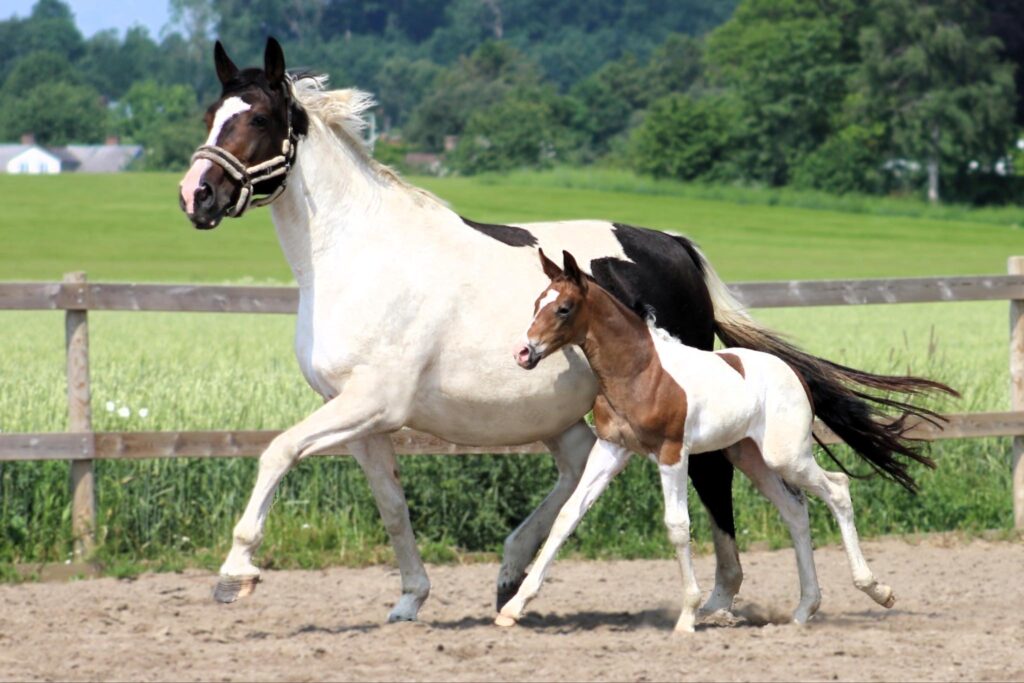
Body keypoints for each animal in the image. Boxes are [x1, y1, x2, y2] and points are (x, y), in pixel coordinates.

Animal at [503, 249, 913, 630]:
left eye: (564, 308)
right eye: (537, 303)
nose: (524, 352)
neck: (641, 371)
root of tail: (793, 373)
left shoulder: (672, 452)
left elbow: (677, 526)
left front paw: (687, 617)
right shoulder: (611, 448)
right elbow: (568, 515)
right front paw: (513, 608)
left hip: (786, 456)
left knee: (837, 489)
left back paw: (876, 590)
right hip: (751, 457)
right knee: (795, 509)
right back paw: (803, 611)